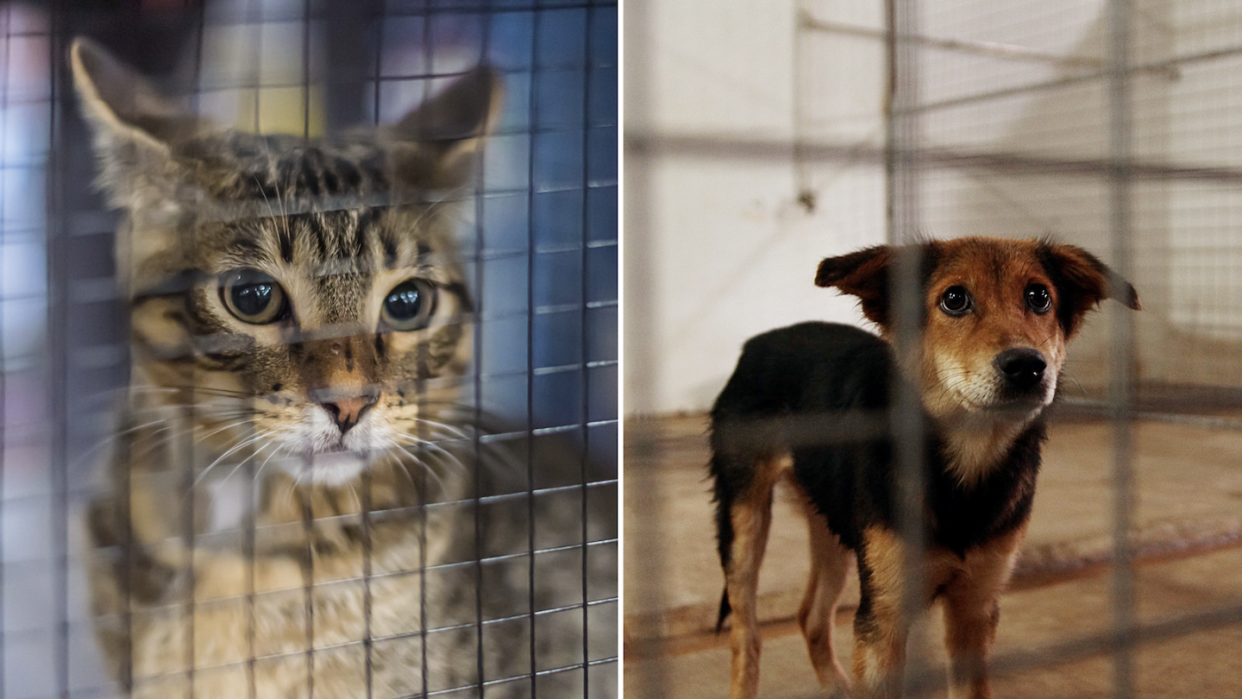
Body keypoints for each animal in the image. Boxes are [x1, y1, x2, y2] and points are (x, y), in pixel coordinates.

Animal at [715, 238, 1137, 695]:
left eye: (1039, 296)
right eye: (954, 299)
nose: (1027, 365)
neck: (965, 464)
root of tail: (755, 343)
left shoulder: (975, 608)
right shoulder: (884, 617)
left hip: (833, 522)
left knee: (810, 615)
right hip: (744, 527)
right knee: (746, 636)